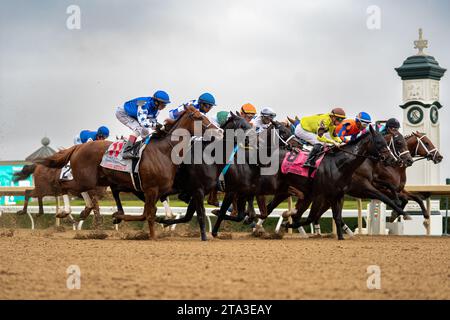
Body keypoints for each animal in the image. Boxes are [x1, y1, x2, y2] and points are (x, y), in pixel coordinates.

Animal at [38, 106, 218, 239]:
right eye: (199, 117)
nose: (219, 131)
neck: (165, 151)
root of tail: (78, 146)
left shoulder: (155, 191)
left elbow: (148, 213)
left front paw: (119, 217)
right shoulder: (151, 189)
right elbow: (149, 214)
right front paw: (152, 236)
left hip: (99, 181)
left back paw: (84, 210)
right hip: (86, 179)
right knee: (64, 185)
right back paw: (66, 211)